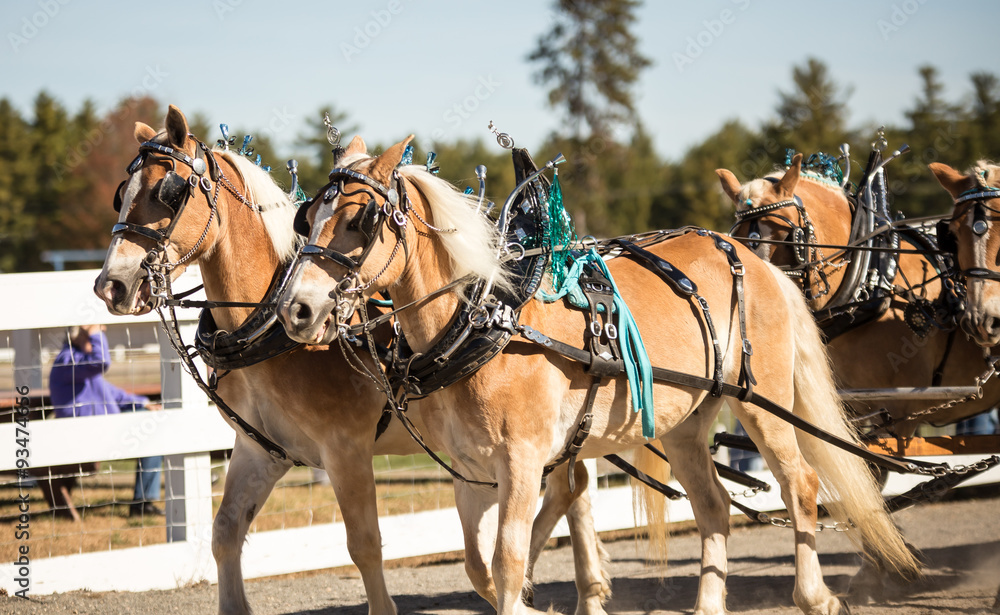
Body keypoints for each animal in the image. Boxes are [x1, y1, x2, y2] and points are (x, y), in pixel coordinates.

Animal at [94, 106, 612, 615]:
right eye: (122, 194)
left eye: (168, 192)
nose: (110, 285)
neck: (266, 325)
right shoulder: (261, 449)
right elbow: (226, 532)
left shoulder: (345, 448)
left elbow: (364, 544)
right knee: (575, 486)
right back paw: (585, 592)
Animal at [278, 136, 916, 615]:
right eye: (307, 217)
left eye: (361, 219)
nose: (297, 310)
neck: (485, 320)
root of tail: (757, 262)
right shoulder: (470, 470)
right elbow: (480, 567)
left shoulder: (522, 460)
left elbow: (508, 560)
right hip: (686, 423)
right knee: (713, 507)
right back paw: (708, 605)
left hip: (761, 401)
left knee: (800, 484)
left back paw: (815, 596)